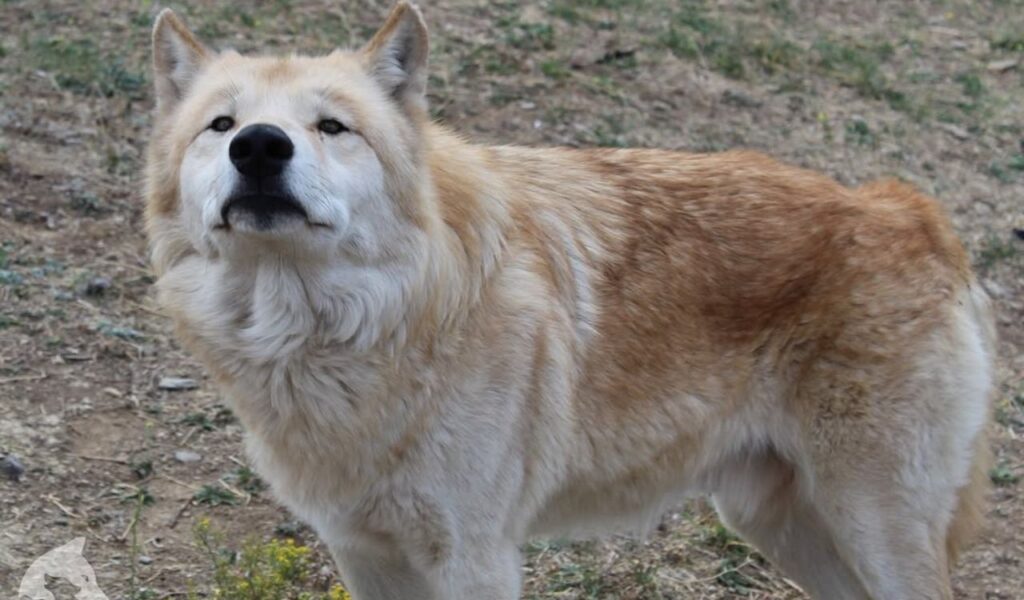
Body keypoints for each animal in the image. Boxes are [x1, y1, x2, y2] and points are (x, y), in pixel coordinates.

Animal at [145, 4, 995, 599]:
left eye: (332, 127)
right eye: (220, 124)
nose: (259, 146)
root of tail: (909, 210)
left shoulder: (475, 557)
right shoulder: (363, 553)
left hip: (871, 525)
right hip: (781, 524)